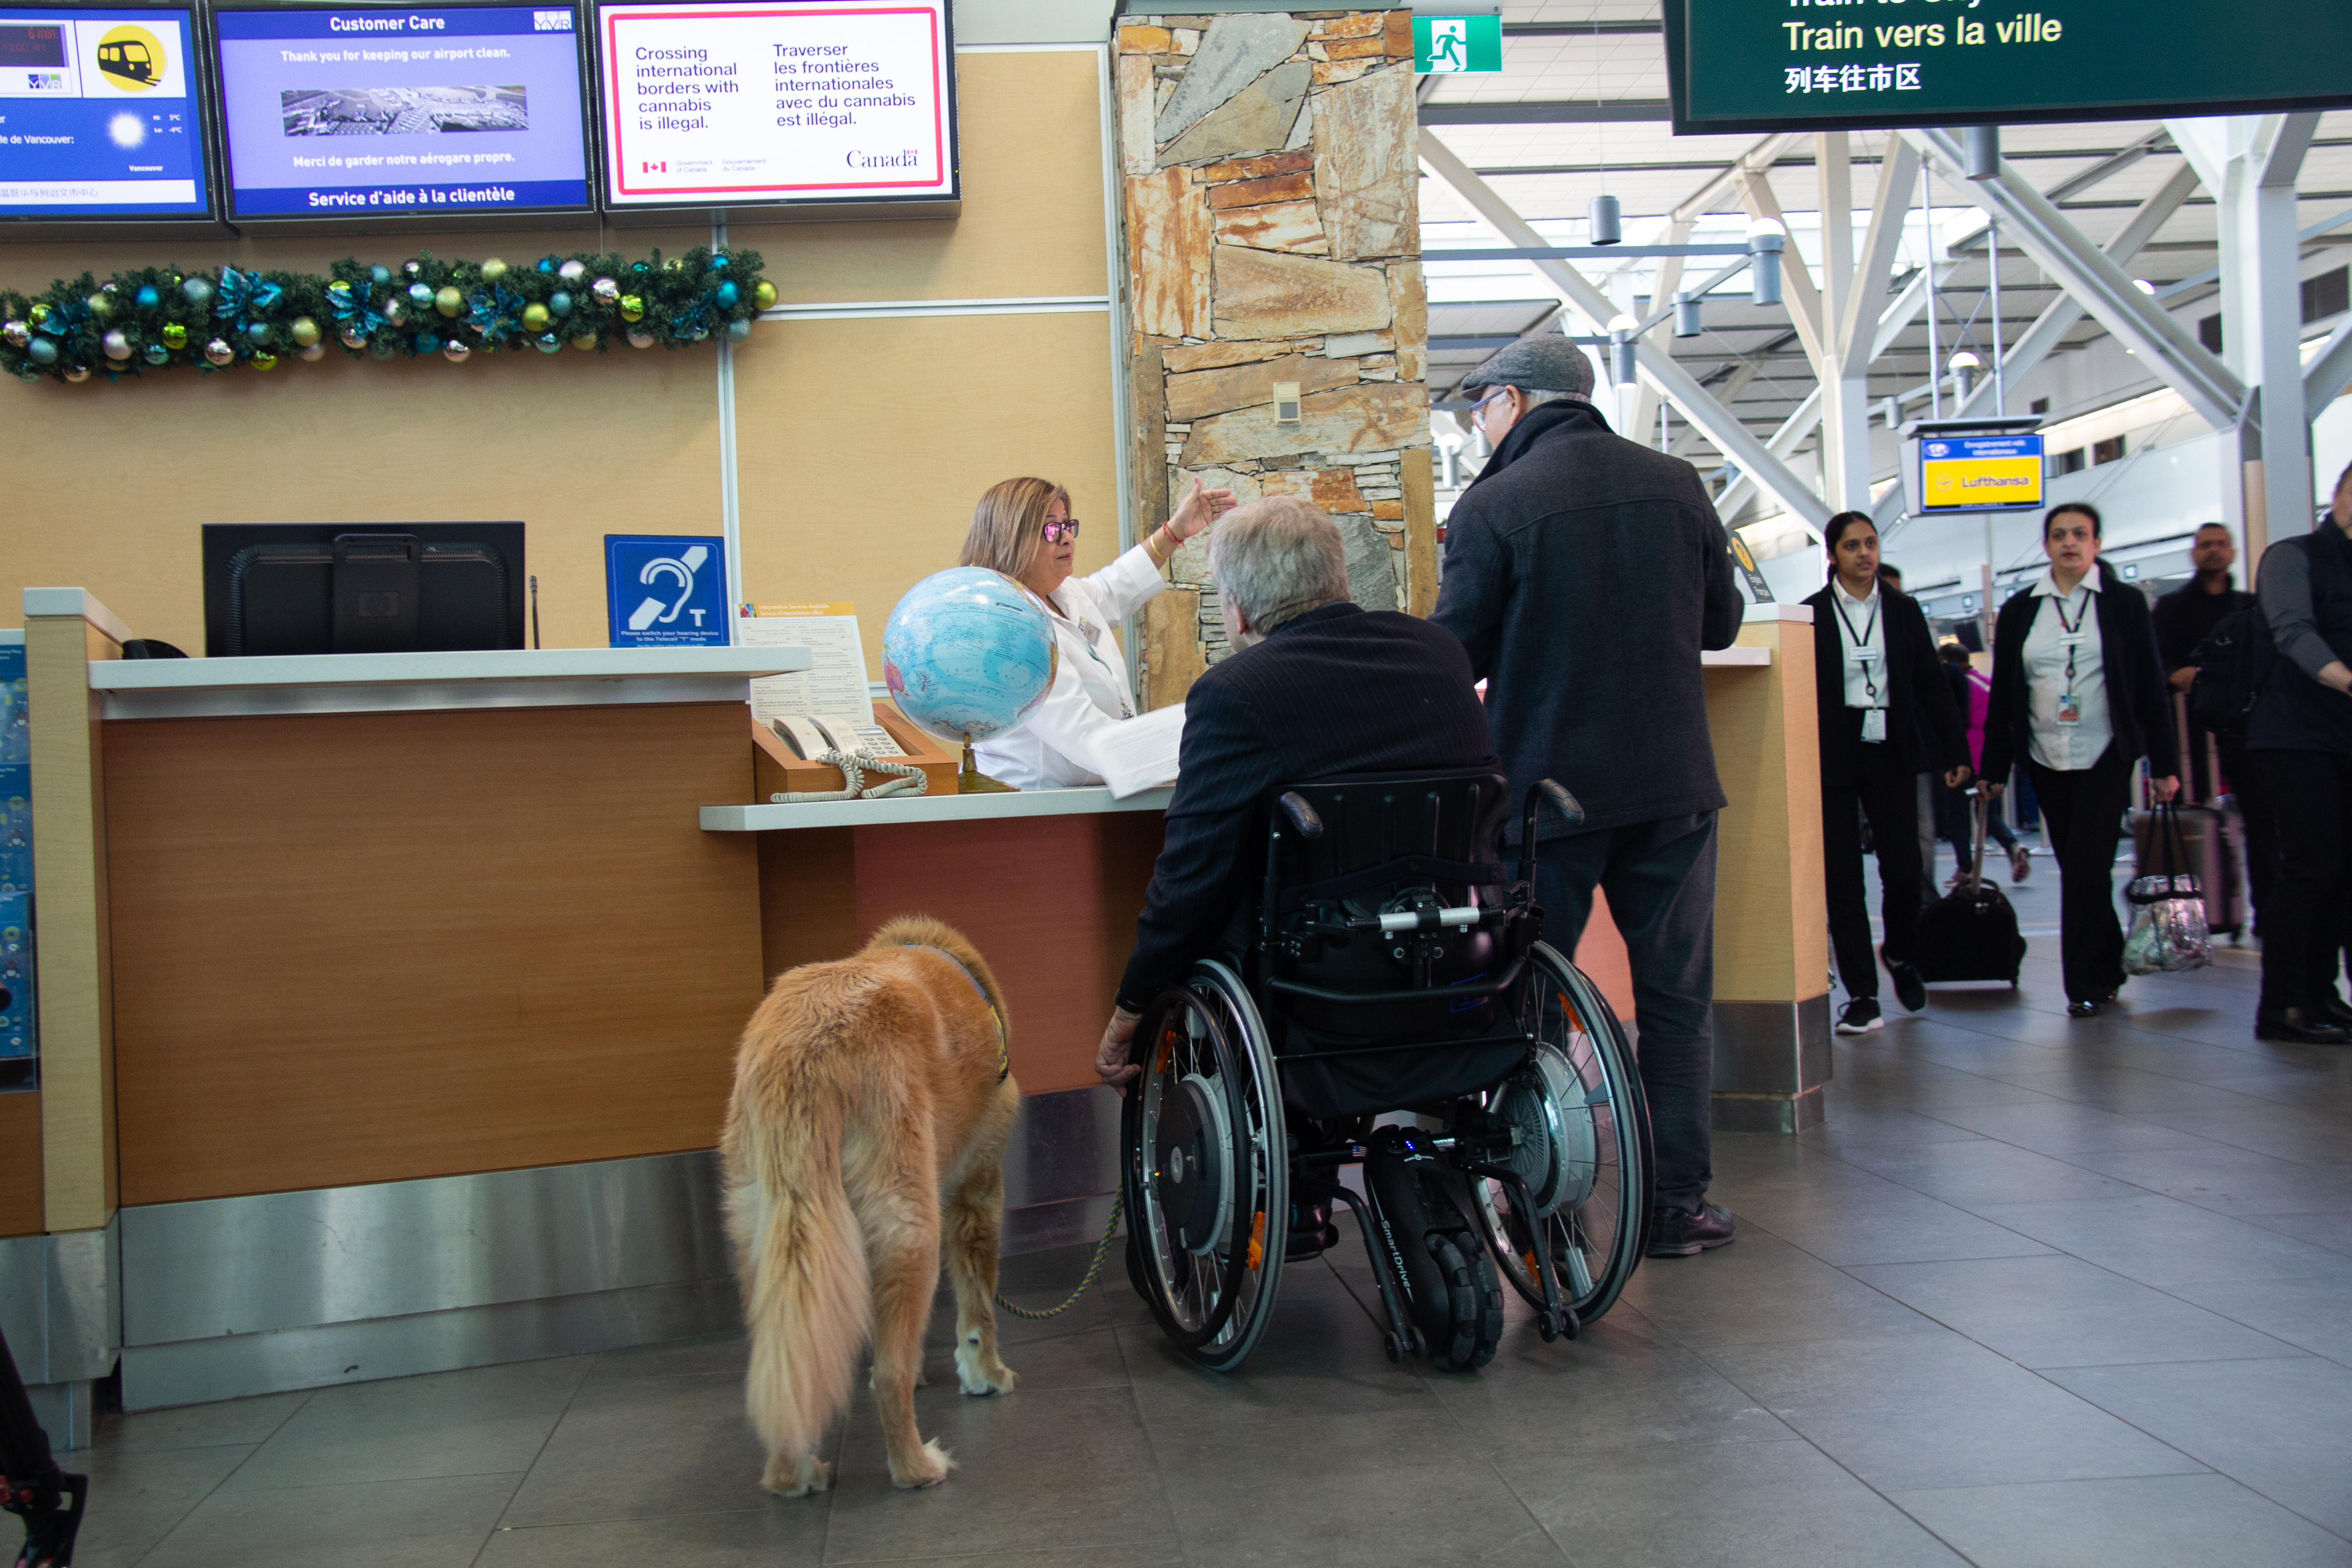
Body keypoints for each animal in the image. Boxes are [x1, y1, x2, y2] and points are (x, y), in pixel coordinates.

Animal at [724, 921, 1020, 1495]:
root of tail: (804, 1049)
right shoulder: (979, 1191)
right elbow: (979, 1310)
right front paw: (987, 1374)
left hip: (763, 1235)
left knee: (789, 1364)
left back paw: (792, 1473)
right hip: (908, 1226)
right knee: (888, 1377)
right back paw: (916, 1468)